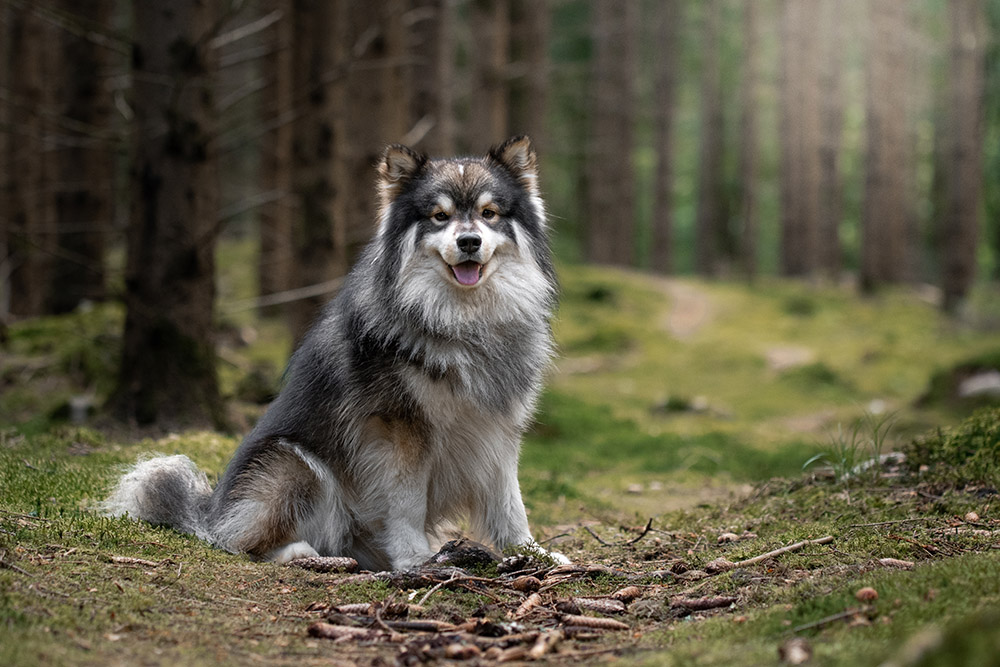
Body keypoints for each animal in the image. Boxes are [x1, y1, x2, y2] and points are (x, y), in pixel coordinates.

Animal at [105, 138, 568, 572]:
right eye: (440, 216)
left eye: (489, 213)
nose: (469, 241)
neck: (462, 321)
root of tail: (210, 512)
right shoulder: (400, 430)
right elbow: (407, 502)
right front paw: (415, 560)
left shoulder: (498, 426)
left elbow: (510, 503)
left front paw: (533, 554)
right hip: (294, 465)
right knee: (239, 542)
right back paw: (300, 552)